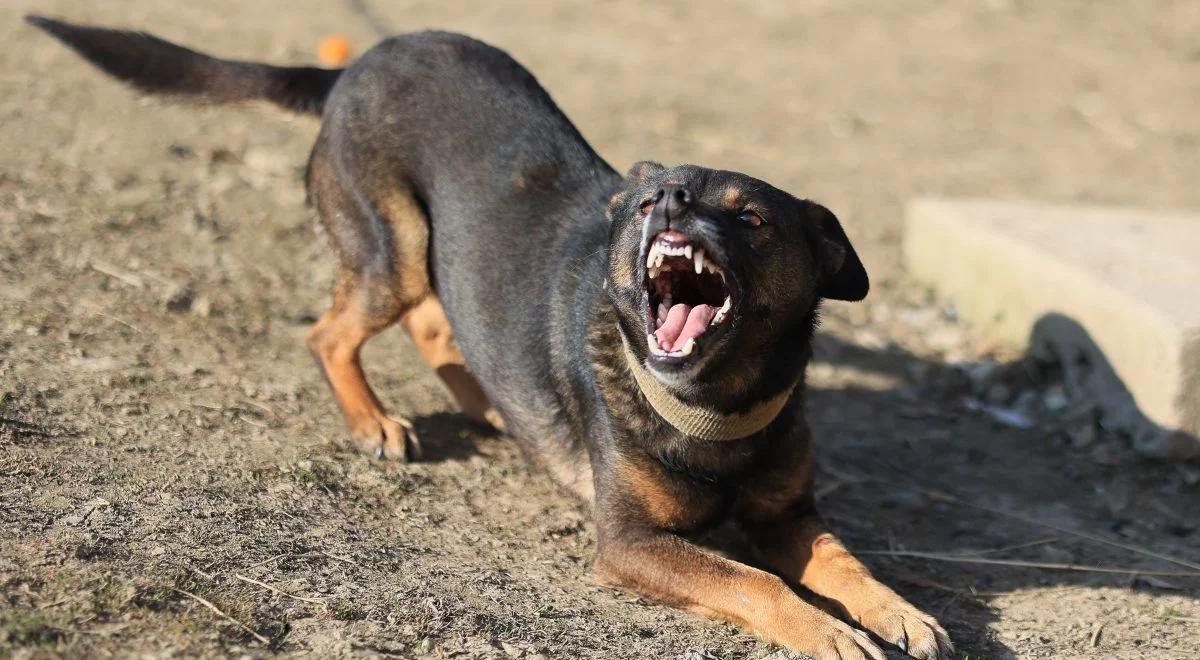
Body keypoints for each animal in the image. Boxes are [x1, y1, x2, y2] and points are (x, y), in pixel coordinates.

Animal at [30, 16, 955, 660]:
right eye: (653, 200)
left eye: (753, 218)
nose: (668, 200)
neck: (714, 408)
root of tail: (353, 66)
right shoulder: (632, 545)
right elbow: (751, 579)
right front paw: (829, 632)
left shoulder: (790, 515)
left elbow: (847, 564)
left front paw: (903, 613)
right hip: (396, 246)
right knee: (332, 331)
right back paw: (374, 421)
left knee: (439, 321)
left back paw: (489, 403)